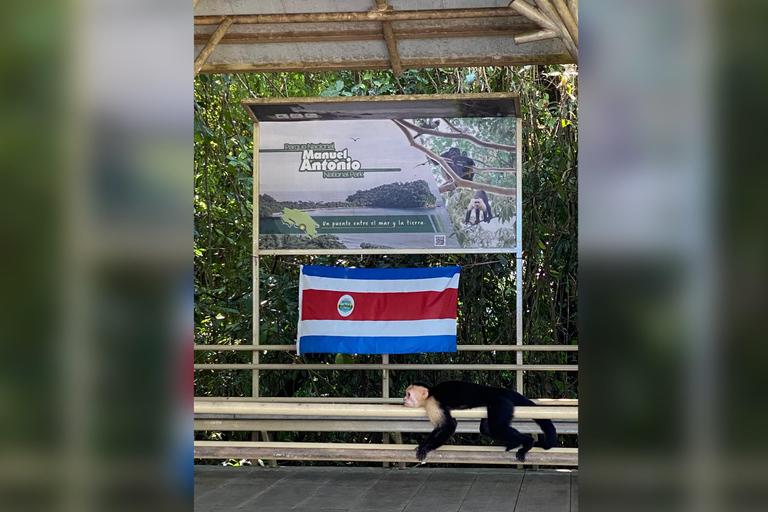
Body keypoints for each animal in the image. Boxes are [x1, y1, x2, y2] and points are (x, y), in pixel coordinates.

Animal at [402, 382, 560, 462]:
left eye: (408, 394)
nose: (403, 399)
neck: (430, 394)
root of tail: (494, 390)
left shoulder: (433, 403)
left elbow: (449, 426)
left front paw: (427, 448)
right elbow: (441, 427)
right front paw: (423, 444)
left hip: (500, 402)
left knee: (497, 428)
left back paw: (528, 442)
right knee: (487, 429)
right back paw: (515, 443)